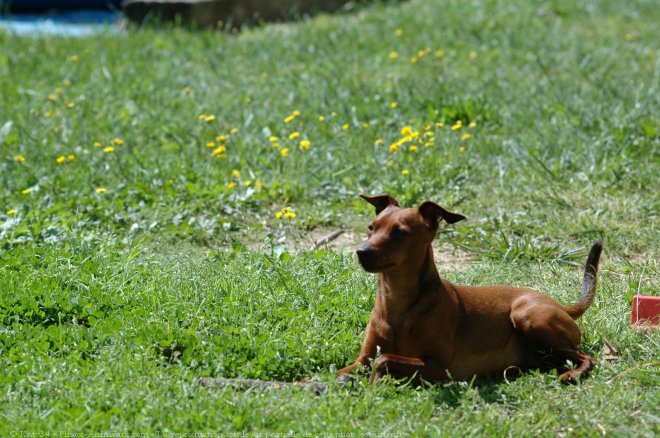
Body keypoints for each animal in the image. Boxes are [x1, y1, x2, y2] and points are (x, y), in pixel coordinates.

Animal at [340, 195, 604, 384]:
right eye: (371, 227)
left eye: (399, 232)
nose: (361, 252)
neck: (397, 301)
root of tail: (562, 307)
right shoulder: (361, 360)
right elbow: (347, 369)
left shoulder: (440, 369)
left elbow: (383, 359)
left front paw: (375, 381)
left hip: (527, 316)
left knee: (586, 357)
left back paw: (572, 374)